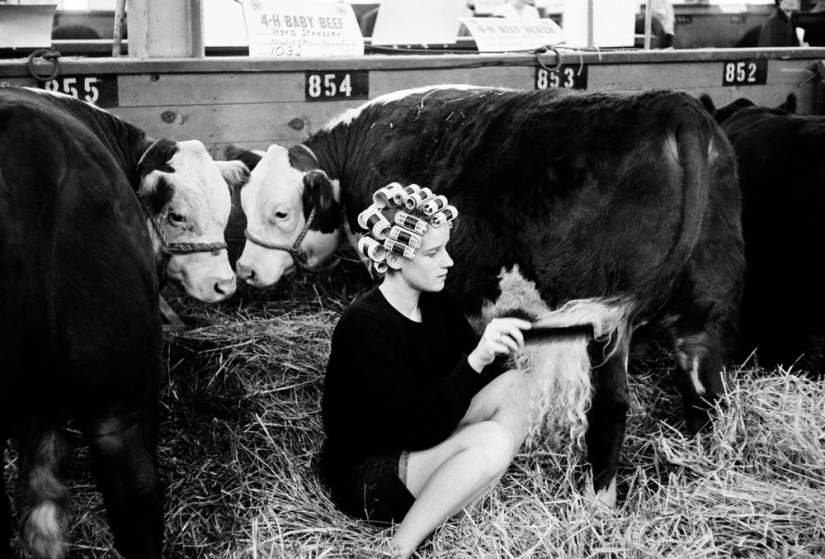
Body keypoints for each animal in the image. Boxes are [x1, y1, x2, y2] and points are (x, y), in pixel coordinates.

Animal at [229, 86, 744, 508]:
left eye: (280, 212)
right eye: (244, 203)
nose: (244, 270)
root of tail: (674, 106)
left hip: (606, 327)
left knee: (612, 407)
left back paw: (597, 504)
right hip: (702, 317)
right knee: (707, 393)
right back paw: (706, 468)